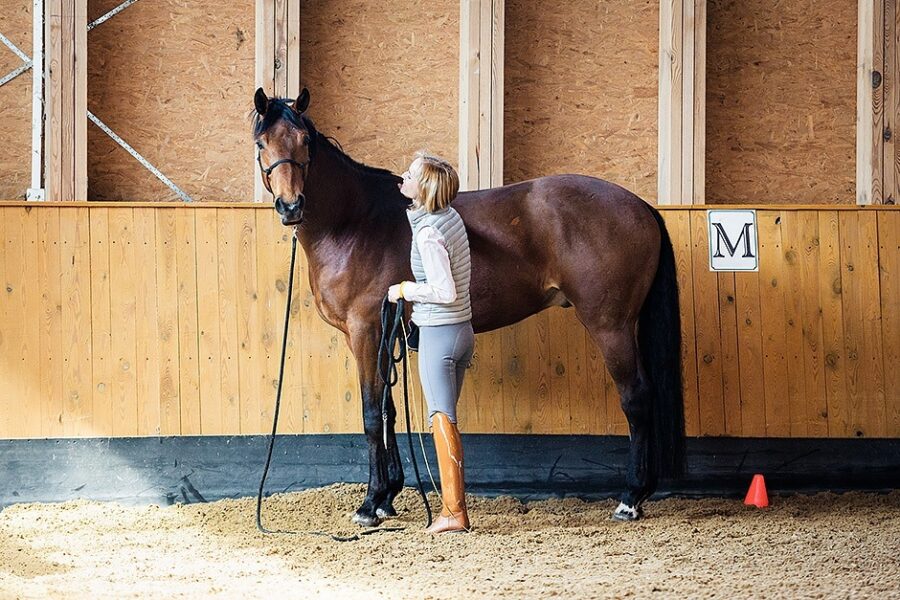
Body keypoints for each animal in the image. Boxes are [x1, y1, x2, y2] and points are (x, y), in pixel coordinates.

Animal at [252, 87, 685, 526]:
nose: (291, 206)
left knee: (636, 398)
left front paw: (370, 504)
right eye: (262, 143)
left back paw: (629, 499)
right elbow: (389, 410)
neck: (354, 222)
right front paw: (388, 496)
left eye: (304, 141)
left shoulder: (365, 330)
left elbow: (372, 414)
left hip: (610, 325)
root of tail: (641, 206)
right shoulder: (380, 335)